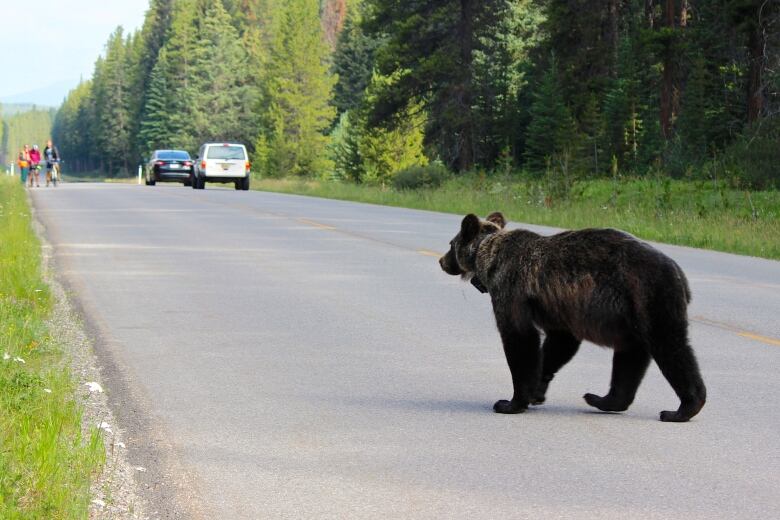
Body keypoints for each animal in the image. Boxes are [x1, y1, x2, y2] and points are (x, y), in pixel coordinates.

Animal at [438, 213, 708, 420]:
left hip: (651, 296)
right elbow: (559, 344)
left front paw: (510, 402)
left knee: (671, 347)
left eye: (450, 244)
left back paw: (682, 409)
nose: (442, 261)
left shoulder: (511, 288)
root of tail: (680, 274)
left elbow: (520, 339)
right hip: (632, 315)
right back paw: (602, 399)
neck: (488, 254)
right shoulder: (558, 307)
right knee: (630, 357)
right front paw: (538, 389)